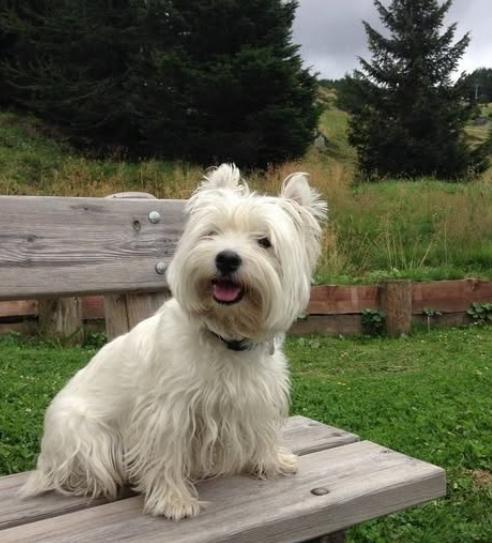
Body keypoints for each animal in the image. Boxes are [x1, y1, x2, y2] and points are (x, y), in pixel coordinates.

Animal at [22, 164, 326, 520]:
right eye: (211, 233)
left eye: (265, 241)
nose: (226, 259)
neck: (225, 336)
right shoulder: (168, 412)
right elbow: (165, 456)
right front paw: (174, 500)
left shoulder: (256, 397)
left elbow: (262, 431)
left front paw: (272, 461)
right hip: (85, 435)